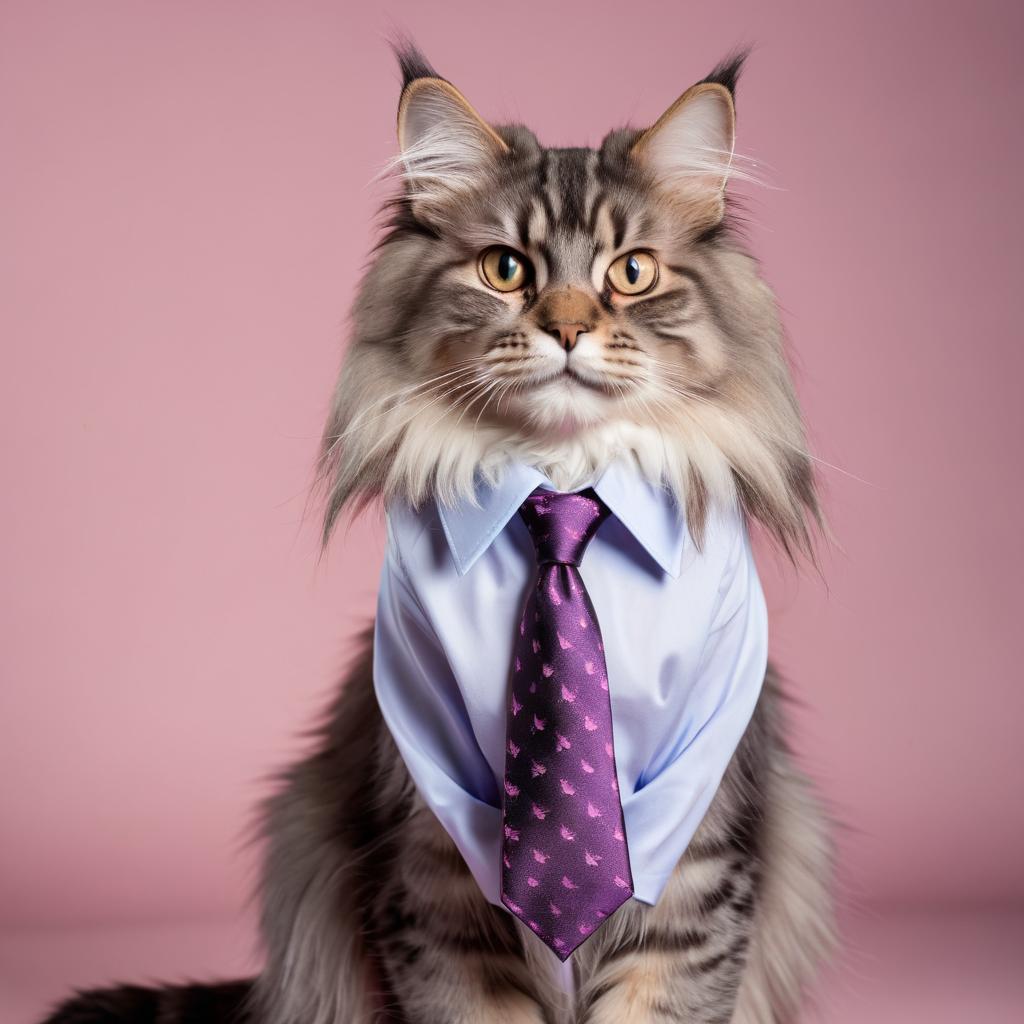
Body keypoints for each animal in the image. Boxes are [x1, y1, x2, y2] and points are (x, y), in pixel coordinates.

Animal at [44, 41, 835, 1024]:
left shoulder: (698, 854)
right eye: (505, 269)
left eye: (632, 273)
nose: (567, 327)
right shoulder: (433, 869)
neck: (562, 496)